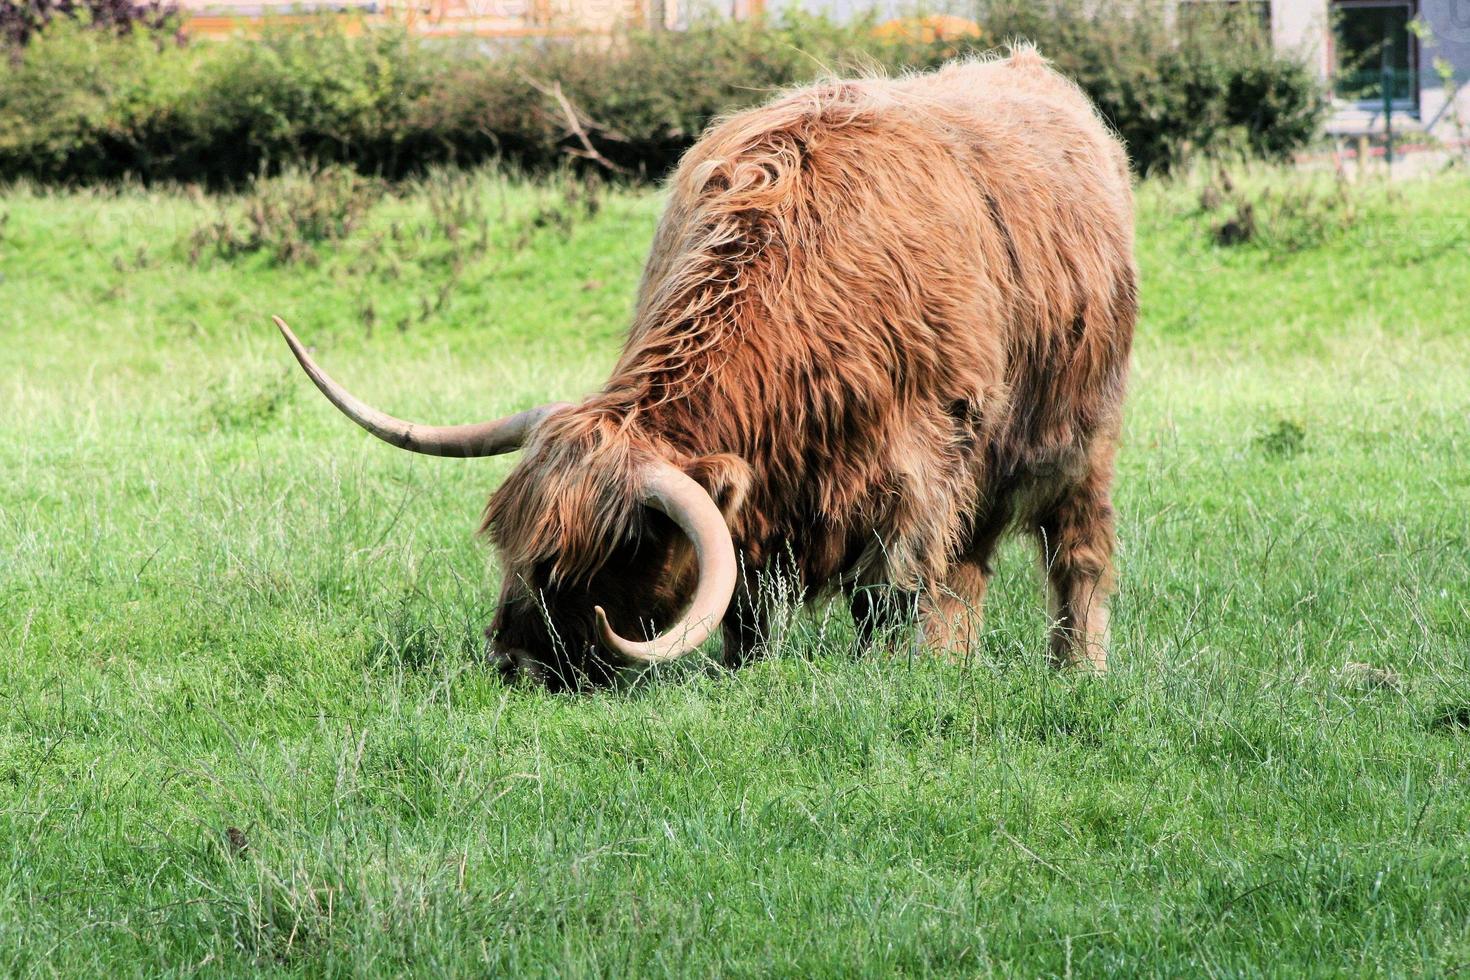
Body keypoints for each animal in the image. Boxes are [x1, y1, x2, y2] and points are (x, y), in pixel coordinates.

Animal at [280, 45, 1140, 690]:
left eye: (612, 553)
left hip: (1084, 437)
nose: (517, 662)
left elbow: (892, 591)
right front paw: (743, 673)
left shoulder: (920, 468)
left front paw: (891, 675)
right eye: (513, 547)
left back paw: (1078, 670)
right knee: (974, 564)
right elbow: (749, 596)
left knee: (1077, 554)